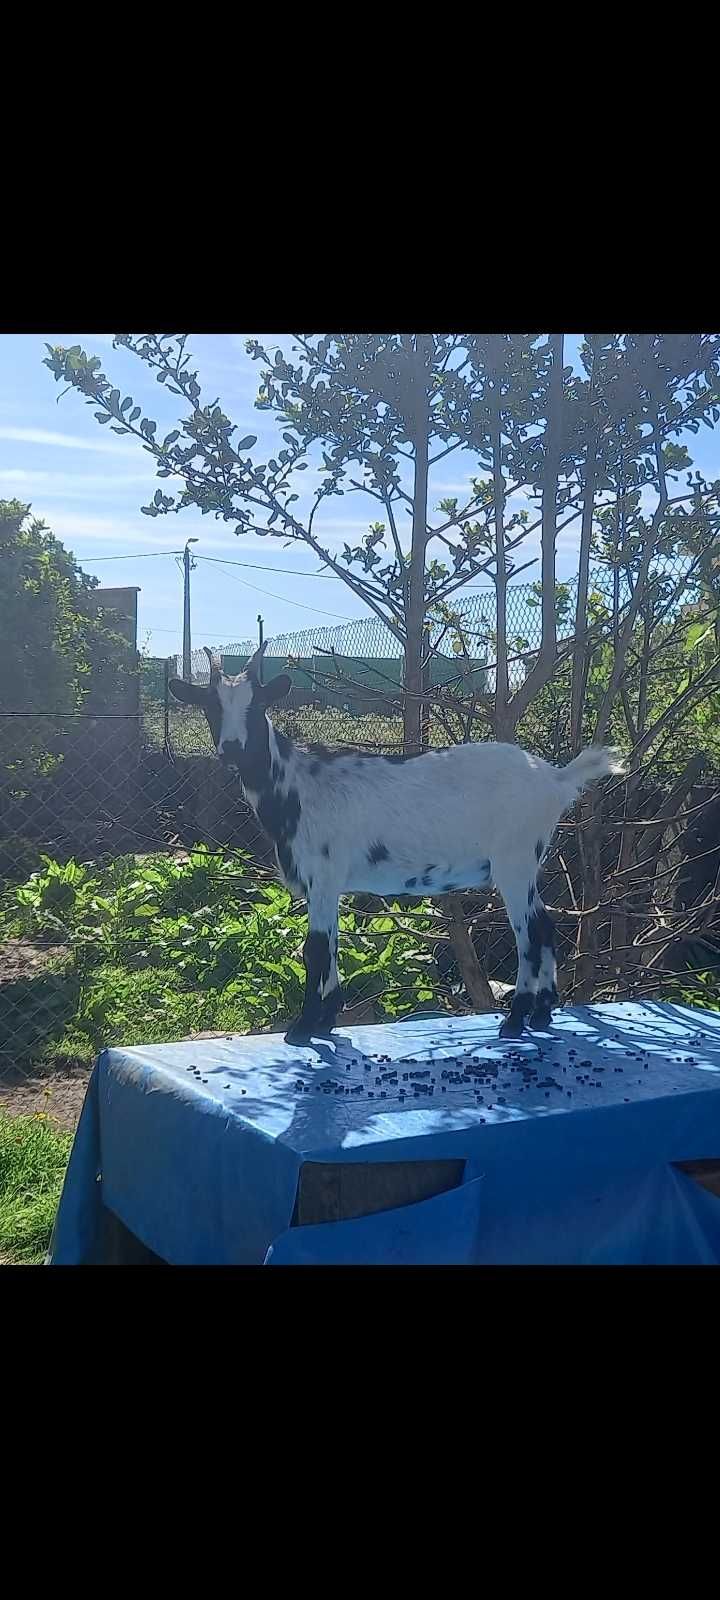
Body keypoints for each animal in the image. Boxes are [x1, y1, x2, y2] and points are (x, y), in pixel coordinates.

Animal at [170, 643, 624, 1043]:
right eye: (211, 706)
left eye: (256, 707)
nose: (232, 750)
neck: (297, 784)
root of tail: (555, 778)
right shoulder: (328, 885)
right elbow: (330, 944)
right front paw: (326, 1021)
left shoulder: (323, 874)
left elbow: (314, 949)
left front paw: (302, 1028)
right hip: (527, 863)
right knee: (545, 925)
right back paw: (543, 1013)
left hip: (514, 859)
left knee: (529, 932)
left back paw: (515, 1019)